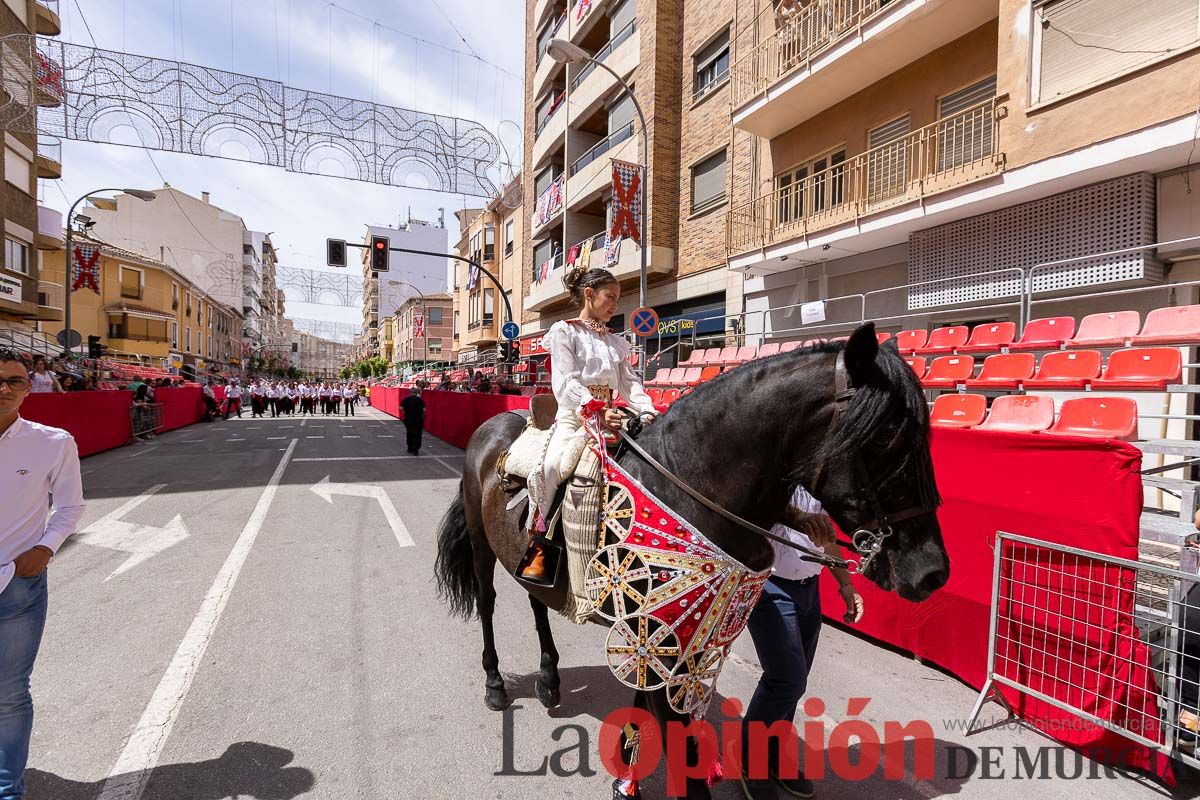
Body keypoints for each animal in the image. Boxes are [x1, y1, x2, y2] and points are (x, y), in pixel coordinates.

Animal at [436, 321, 950, 796]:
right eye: (886, 437)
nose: (932, 572)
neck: (689, 486)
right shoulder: (662, 631)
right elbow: (683, 751)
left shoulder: (666, 638)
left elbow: (645, 705)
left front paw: (627, 768)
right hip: (481, 545)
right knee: (487, 604)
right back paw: (496, 684)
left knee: (536, 600)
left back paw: (549, 679)